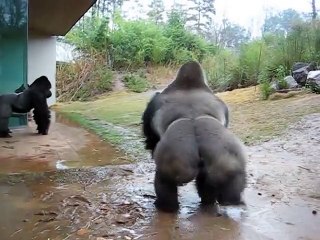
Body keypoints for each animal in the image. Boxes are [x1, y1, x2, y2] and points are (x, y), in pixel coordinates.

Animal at [141, 60, 246, 212]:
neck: (188, 85)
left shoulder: (153, 103)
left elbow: (151, 139)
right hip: (225, 159)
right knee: (227, 176)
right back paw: (225, 201)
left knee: (164, 178)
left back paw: (165, 206)